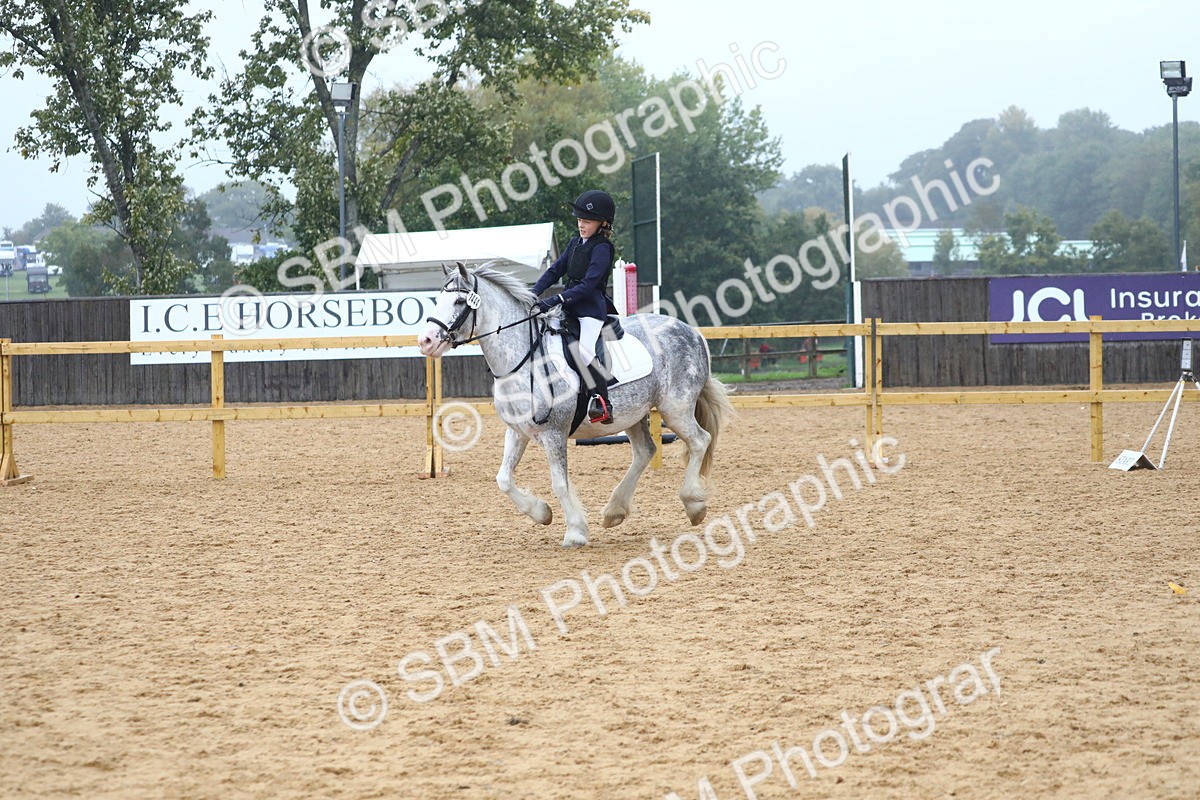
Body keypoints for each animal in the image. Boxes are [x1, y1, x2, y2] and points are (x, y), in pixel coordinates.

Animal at [417, 262, 734, 548]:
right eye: (438, 299)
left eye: (460, 301)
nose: (426, 341)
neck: (524, 358)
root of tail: (692, 331)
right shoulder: (517, 432)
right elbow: (503, 479)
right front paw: (542, 513)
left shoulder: (554, 433)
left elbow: (559, 483)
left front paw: (575, 533)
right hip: (633, 415)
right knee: (646, 451)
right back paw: (614, 512)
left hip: (675, 408)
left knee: (699, 440)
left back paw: (693, 505)